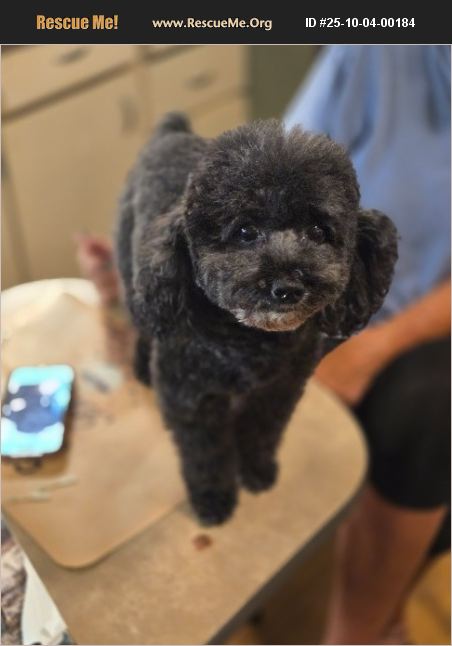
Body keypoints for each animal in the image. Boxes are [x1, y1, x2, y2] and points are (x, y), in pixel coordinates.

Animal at [115, 114, 398, 525]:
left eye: (318, 231)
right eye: (245, 231)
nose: (288, 287)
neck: (250, 342)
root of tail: (170, 130)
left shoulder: (279, 389)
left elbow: (261, 433)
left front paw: (257, 471)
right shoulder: (190, 397)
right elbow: (205, 454)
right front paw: (213, 498)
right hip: (131, 266)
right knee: (143, 325)